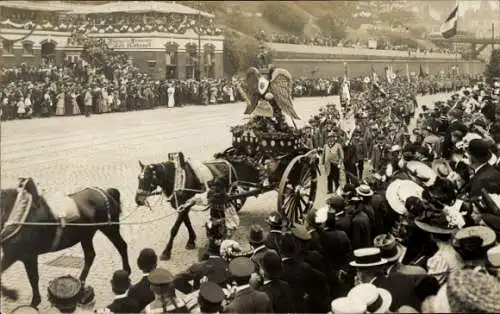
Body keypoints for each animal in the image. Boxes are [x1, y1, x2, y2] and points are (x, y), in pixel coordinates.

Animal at [0, 178, 131, 308]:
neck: (19, 216)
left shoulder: (25, 256)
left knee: (122, 246)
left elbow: (32, 278)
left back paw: (126, 271)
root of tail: (108, 193)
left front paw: (20, 297)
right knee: (90, 255)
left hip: (110, 229)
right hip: (86, 236)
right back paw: (81, 282)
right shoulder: (18, 256)